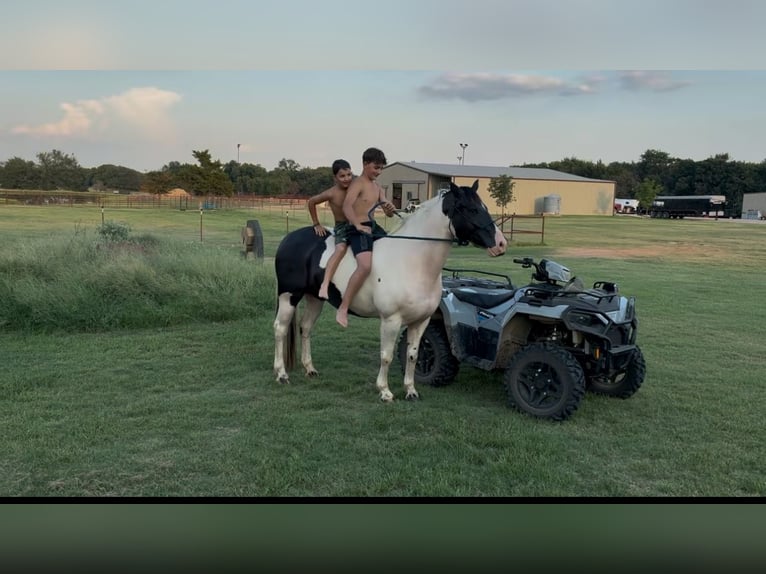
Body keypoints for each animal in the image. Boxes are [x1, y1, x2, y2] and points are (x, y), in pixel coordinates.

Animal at [272, 180, 507, 402]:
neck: (412, 261)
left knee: (305, 328)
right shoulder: (391, 320)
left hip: (315, 298)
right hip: (289, 296)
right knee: (280, 329)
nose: (501, 244)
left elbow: (413, 355)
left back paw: (310, 369)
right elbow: (386, 356)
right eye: (471, 209)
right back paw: (281, 374)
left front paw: (411, 391)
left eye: (484, 206)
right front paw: (385, 392)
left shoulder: (421, 321)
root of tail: (289, 239)